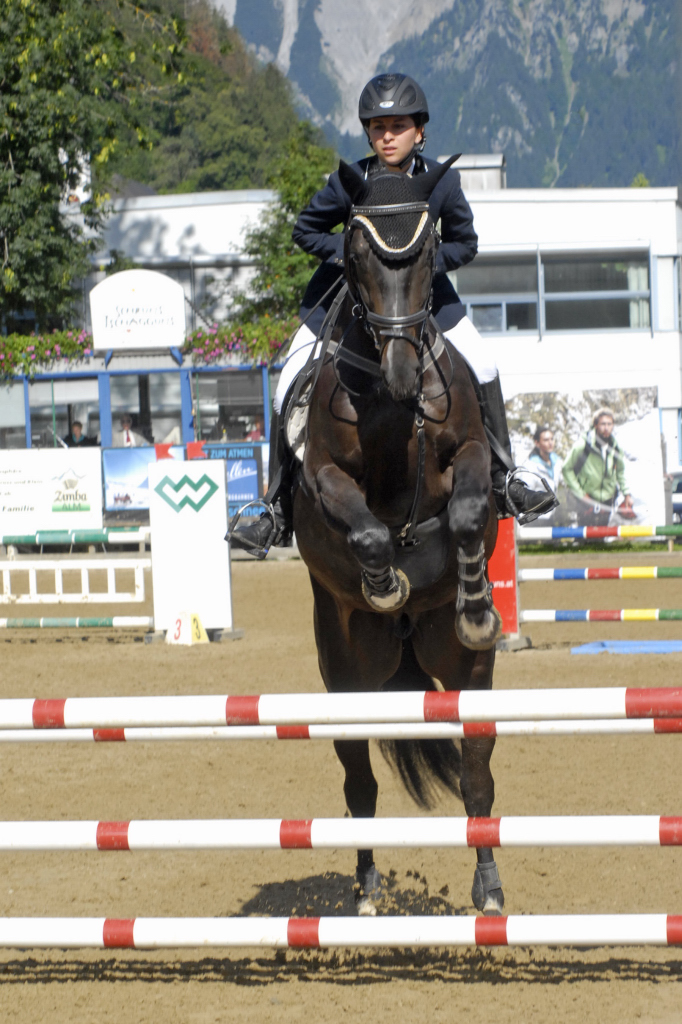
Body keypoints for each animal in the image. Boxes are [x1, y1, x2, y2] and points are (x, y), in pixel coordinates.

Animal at [289, 157, 504, 916]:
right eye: (354, 253)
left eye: (431, 249)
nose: (404, 374)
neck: (388, 407)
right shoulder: (324, 477)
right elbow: (368, 533)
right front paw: (384, 583)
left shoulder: (468, 451)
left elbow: (467, 512)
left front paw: (478, 603)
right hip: (348, 677)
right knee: (360, 785)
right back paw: (366, 890)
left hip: (466, 674)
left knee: (476, 776)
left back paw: (489, 889)